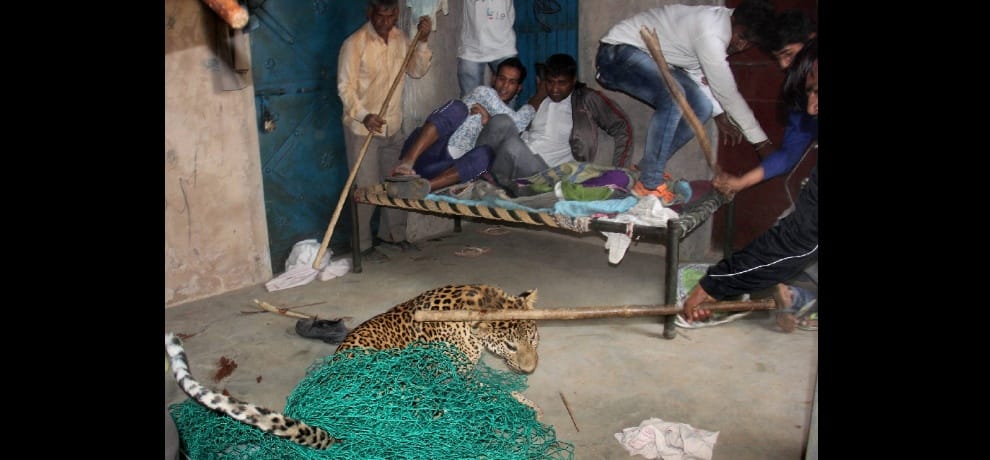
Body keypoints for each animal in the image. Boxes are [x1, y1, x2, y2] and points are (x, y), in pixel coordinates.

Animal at [165, 284, 541, 450]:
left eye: (534, 339)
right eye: (510, 346)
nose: (531, 370)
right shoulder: (451, 377)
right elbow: (489, 391)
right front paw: (526, 404)